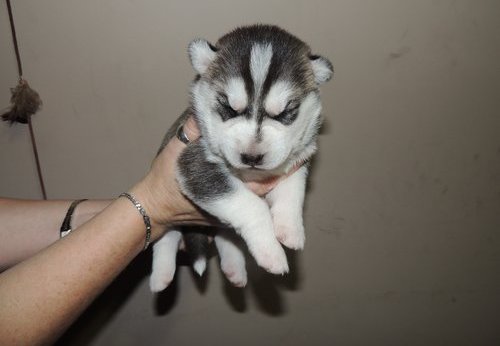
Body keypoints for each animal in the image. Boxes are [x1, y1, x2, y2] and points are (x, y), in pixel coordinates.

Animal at [150, 23, 334, 292]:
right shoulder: (194, 163)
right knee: (167, 236)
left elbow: (293, 192)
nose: (252, 157)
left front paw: (290, 229)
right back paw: (161, 276)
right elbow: (252, 206)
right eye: (229, 108)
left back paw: (234, 269)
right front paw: (272, 253)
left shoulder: (297, 161)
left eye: (285, 113)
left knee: (227, 236)